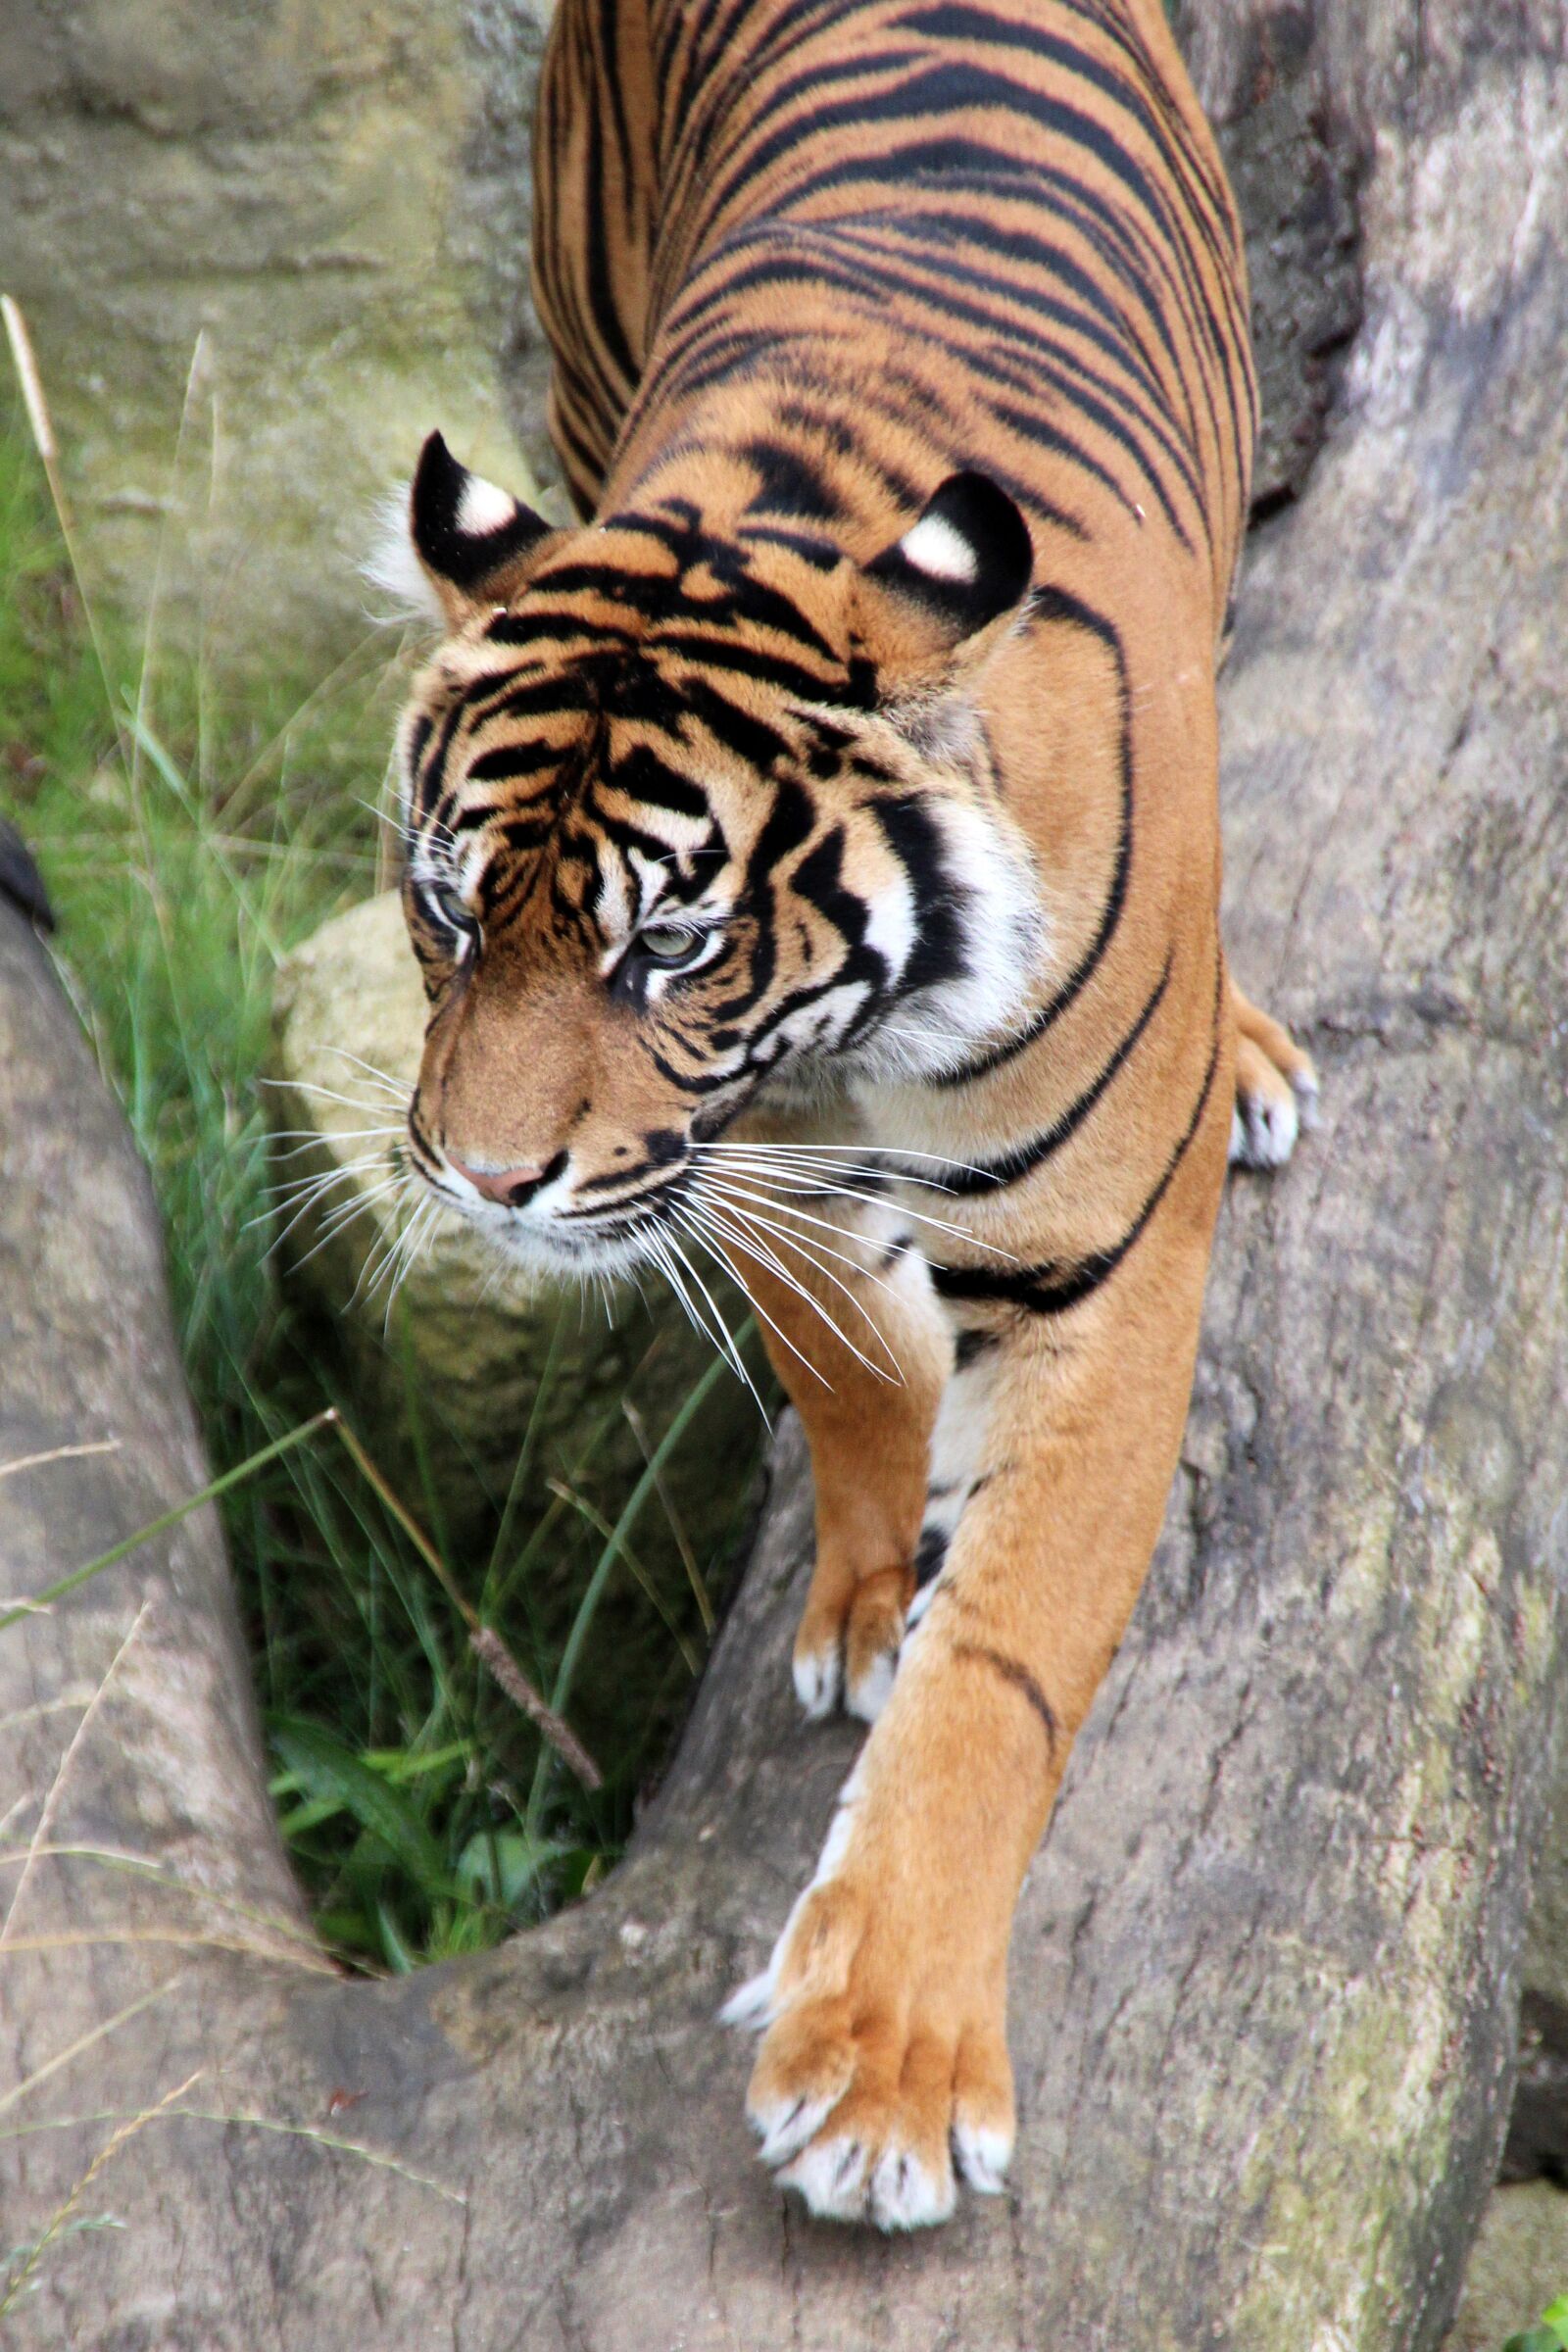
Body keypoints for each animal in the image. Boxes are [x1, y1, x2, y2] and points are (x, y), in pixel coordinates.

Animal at [378, 0, 1317, 2232]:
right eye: (445, 907)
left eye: (666, 946)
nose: (483, 1177)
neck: (829, 1039)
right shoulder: (737, 1176)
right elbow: (836, 1363)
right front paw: (874, 1592)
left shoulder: (1098, 1277)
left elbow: (1008, 1673)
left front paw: (882, 2072)